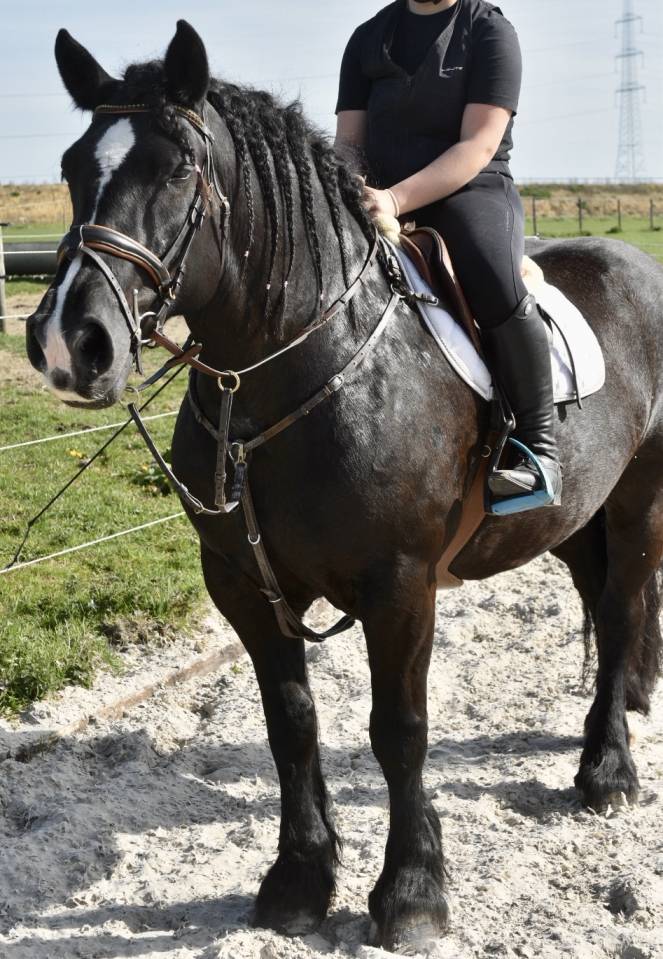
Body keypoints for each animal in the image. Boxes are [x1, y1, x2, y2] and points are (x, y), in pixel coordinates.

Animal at [26, 20, 663, 954]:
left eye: (178, 168)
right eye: (74, 165)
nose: (71, 342)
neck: (290, 373)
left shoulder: (399, 586)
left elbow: (397, 729)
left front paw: (411, 892)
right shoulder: (243, 585)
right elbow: (291, 723)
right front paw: (297, 880)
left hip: (638, 498)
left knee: (619, 612)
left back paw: (608, 770)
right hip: (575, 514)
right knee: (599, 600)